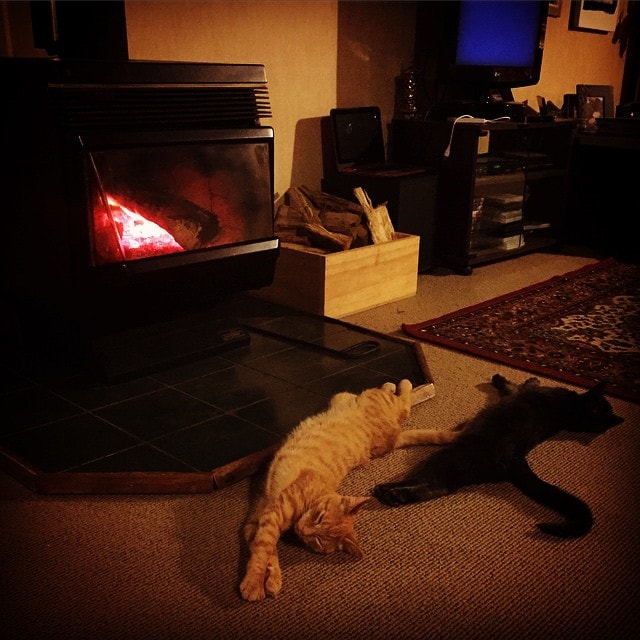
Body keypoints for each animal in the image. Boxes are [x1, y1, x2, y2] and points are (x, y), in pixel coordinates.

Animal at [239, 378, 456, 604]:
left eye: (318, 540)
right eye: (319, 517)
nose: (303, 530)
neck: (313, 498)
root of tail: (393, 438)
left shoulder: (262, 519)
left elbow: (265, 548)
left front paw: (266, 580)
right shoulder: (266, 516)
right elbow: (264, 550)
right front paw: (258, 581)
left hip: (353, 400)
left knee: (402, 404)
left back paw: (396, 385)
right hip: (364, 400)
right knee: (403, 404)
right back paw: (398, 385)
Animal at [376, 372, 624, 536]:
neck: (570, 411)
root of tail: (515, 459)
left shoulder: (518, 391)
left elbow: (513, 384)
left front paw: (505, 378)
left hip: (444, 458)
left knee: (429, 481)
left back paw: (388, 491)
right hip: (457, 471)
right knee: (439, 487)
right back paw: (395, 497)